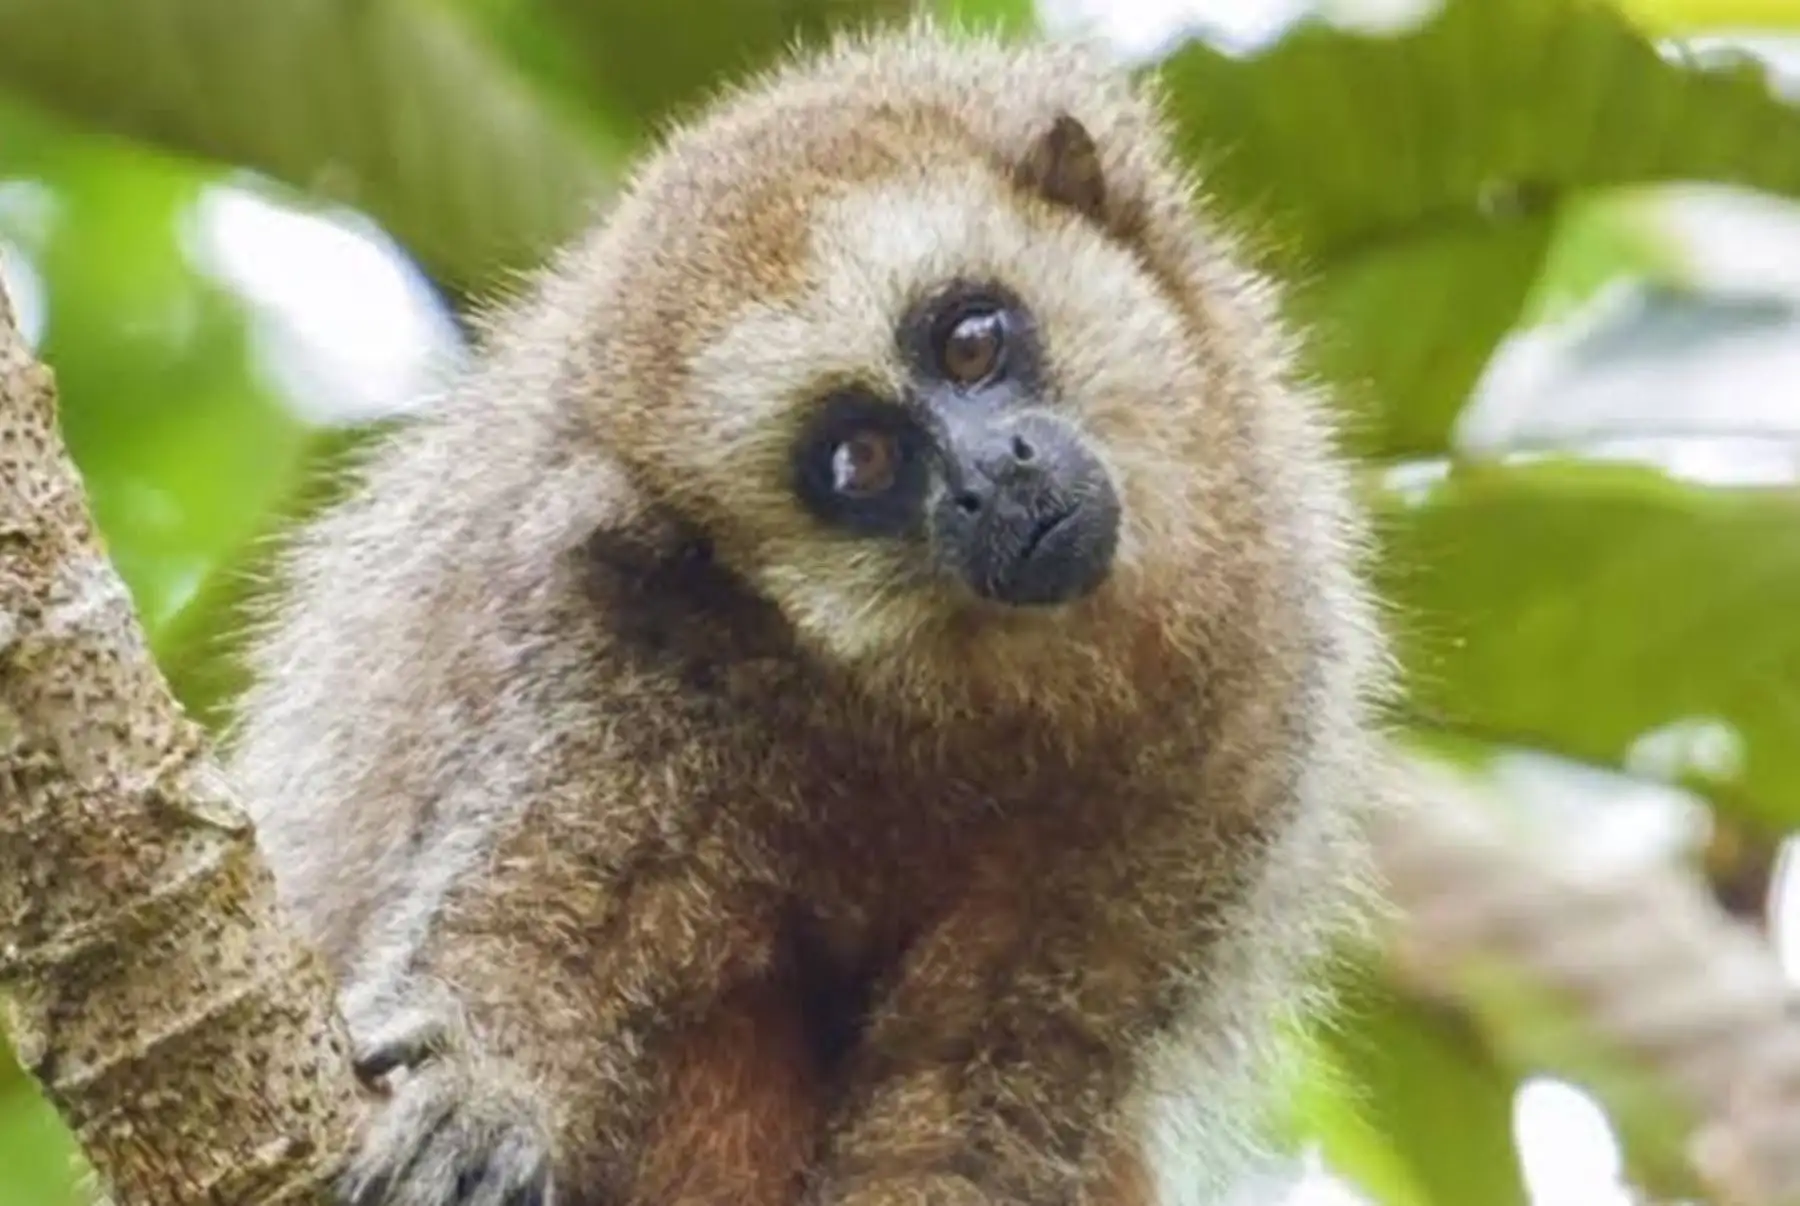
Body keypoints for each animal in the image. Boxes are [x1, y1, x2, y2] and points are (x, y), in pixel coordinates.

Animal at [226, 18, 1393, 1206]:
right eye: (860, 461)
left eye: (972, 343)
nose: (989, 478)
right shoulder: (630, 649)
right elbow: (551, 912)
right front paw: (483, 1077)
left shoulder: (1246, 691)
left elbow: (993, 1071)